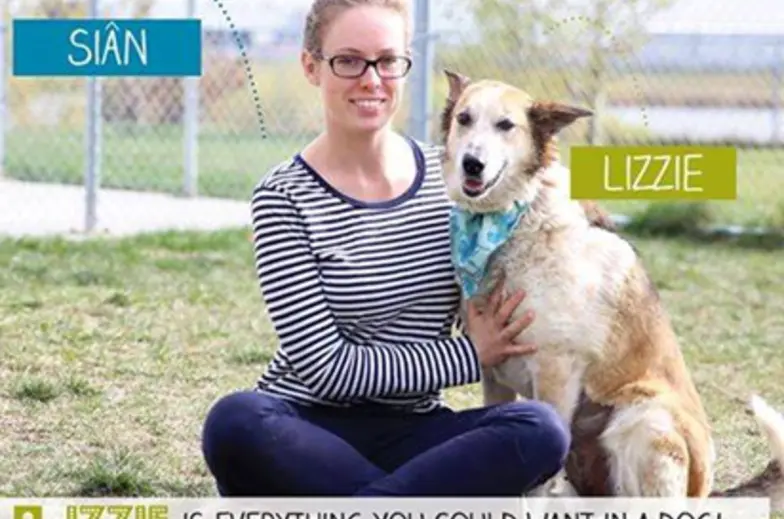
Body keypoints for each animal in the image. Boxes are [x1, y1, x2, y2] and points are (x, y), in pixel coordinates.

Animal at [438, 68, 784, 508]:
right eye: (464, 119)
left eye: (505, 125)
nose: (473, 164)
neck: (514, 220)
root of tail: (705, 493)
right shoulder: (492, 371)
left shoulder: (555, 370)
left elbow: (536, 482)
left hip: (642, 417)